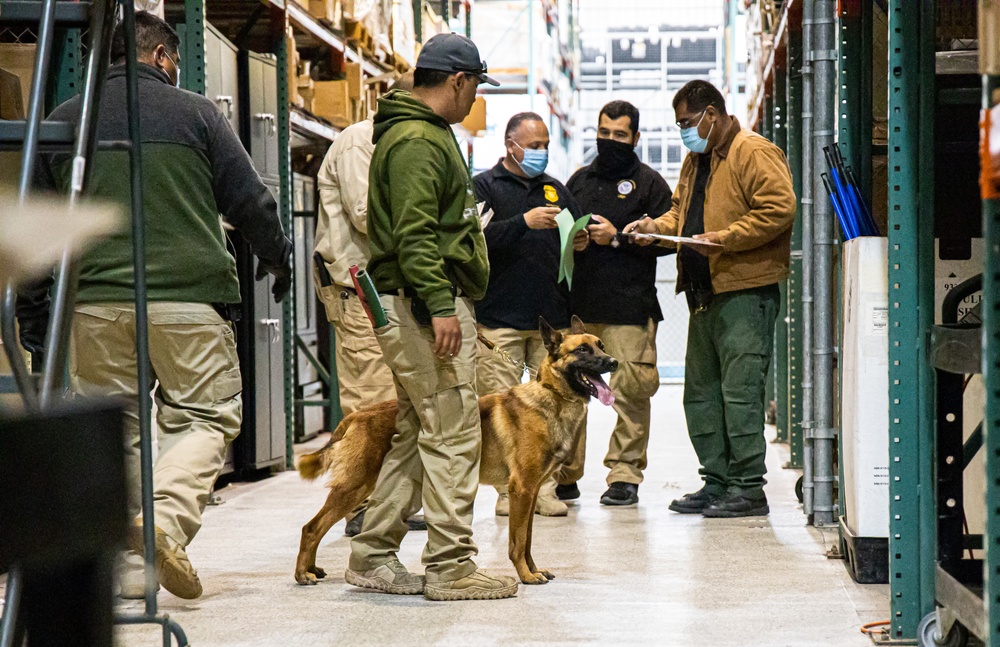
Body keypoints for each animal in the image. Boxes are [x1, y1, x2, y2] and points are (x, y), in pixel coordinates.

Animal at [292, 316, 616, 588]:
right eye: (582, 350)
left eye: (600, 345)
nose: (613, 362)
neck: (552, 395)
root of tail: (356, 416)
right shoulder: (521, 489)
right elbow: (517, 541)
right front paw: (525, 575)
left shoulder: (532, 491)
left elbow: (528, 540)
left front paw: (533, 569)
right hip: (355, 485)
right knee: (311, 527)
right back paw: (302, 574)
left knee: (317, 526)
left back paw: (313, 568)